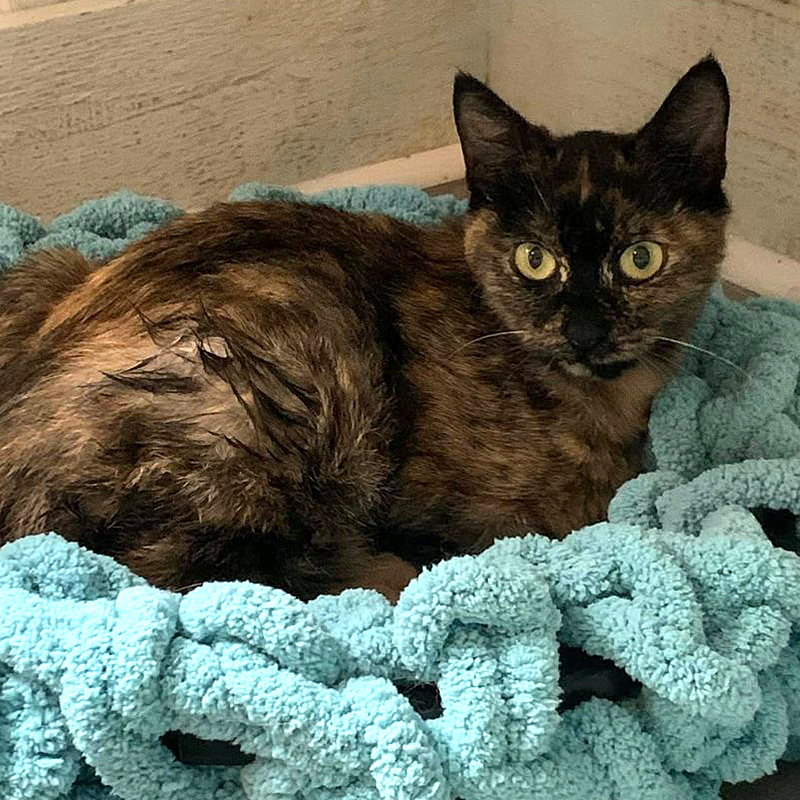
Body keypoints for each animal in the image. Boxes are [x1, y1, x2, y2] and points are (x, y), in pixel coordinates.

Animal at [0, 59, 728, 604]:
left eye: (640, 259)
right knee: (202, 574)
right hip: (295, 379)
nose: (583, 330)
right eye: (535, 260)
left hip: (53, 267)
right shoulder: (456, 517)